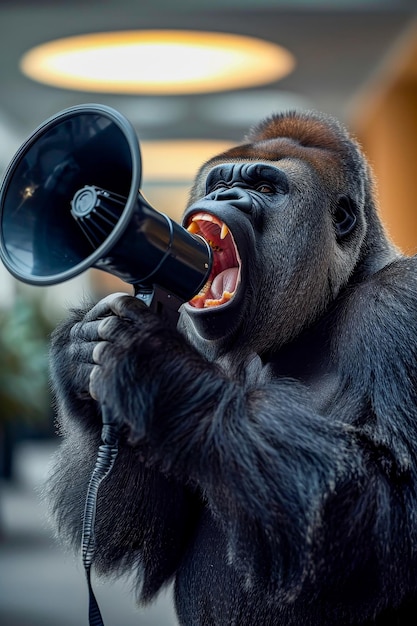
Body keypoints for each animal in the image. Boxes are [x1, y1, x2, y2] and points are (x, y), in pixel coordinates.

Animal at [46, 109, 417, 620]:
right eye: (220, 183)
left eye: (263, 186)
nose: (224, 197)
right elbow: (154, 531)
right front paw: (80, 357)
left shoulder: (400, 303)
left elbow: (397, 505)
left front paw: (163, 376)